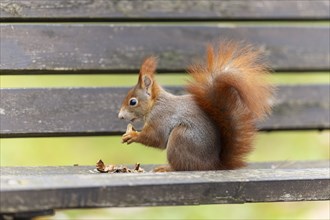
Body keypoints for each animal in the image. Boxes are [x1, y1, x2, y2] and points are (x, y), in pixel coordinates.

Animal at [118, 41, 274, 172]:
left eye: (133, 102)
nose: (120, 116)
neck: (155, 104)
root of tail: (213, 165)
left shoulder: (161, 117)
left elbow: (156, 138)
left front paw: (132, 135)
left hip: (181, 137)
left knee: (183, 167)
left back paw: (166, 168)